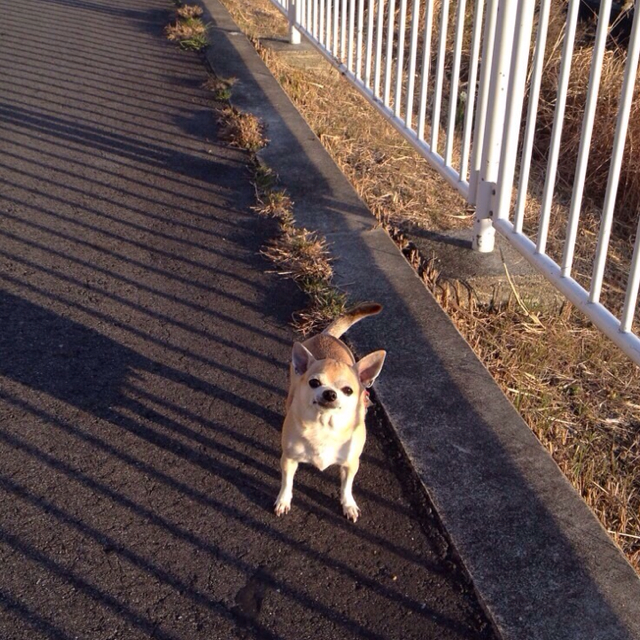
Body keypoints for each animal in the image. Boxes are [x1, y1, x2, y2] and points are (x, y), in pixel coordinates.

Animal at [274, 304, 384, 520]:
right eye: (314, 382)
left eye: (348, 390)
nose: (330, 393)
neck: (324, 425)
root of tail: (326, 335)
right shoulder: (289, 459)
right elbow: (287, 482)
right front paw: (283, 500)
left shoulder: (351, 463)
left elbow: (347, 486)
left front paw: (348, 504)